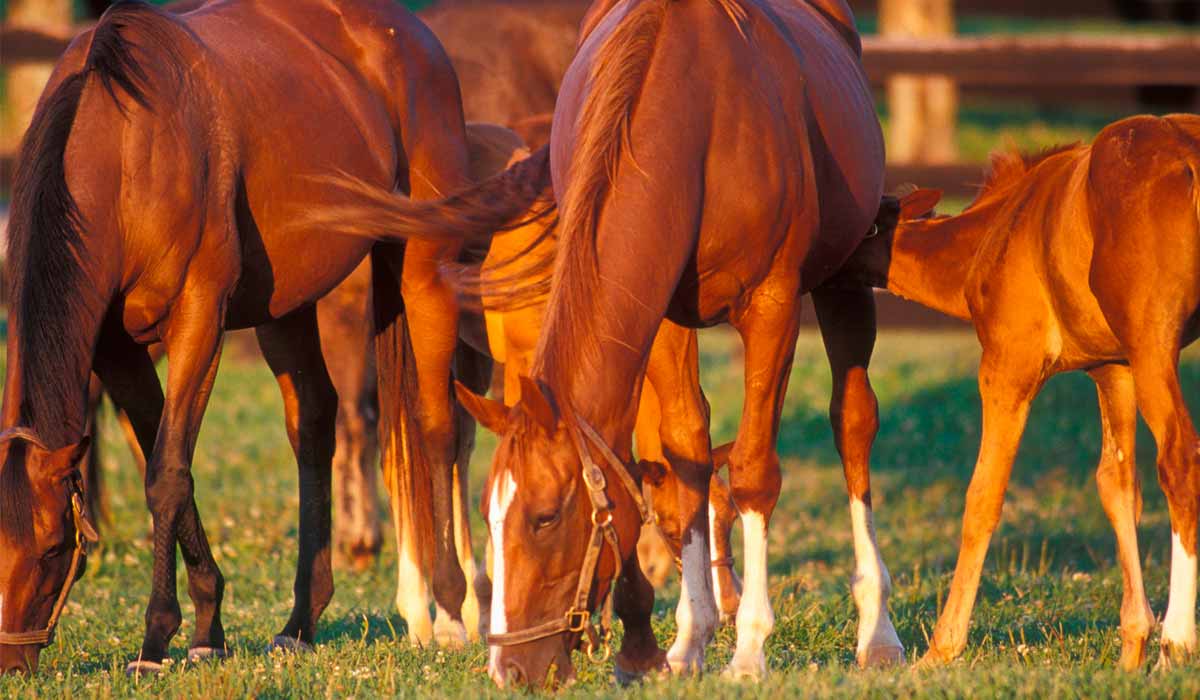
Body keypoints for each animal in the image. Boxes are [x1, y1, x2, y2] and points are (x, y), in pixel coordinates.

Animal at [0, 1, 544, 677]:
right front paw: (208, 628)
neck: (126, 149)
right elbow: (164, 459)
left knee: (435, 426)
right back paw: (301, 623)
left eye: (54, 547)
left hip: (422, 267)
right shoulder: (118, 350)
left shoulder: (197, 319)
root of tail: (411, 33)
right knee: (314, 424)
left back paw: (448, 613)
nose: (11, 661)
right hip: (288, 306)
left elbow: (167, 474)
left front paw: (157, 640)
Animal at [316, 0, 902, 686]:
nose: (510, 670)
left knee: (853, 424)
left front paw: (748, 647)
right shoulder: (662, 311)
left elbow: (753, 470)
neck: (697, 115)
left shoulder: (772, 304)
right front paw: (687, 642)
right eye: (495, 516)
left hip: (844, 275)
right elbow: (684, 454)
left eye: (546, 516)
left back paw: (878, 631)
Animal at [835, 112, 1200, 672]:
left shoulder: (1008, 368)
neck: (997, 232)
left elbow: (982, 496)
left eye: (865, 226)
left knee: (1180, 459)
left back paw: (1178, 642)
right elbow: (1116, 485)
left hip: (1154, 344)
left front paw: (942, 647)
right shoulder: (1113, 368)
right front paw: (1131, 650)